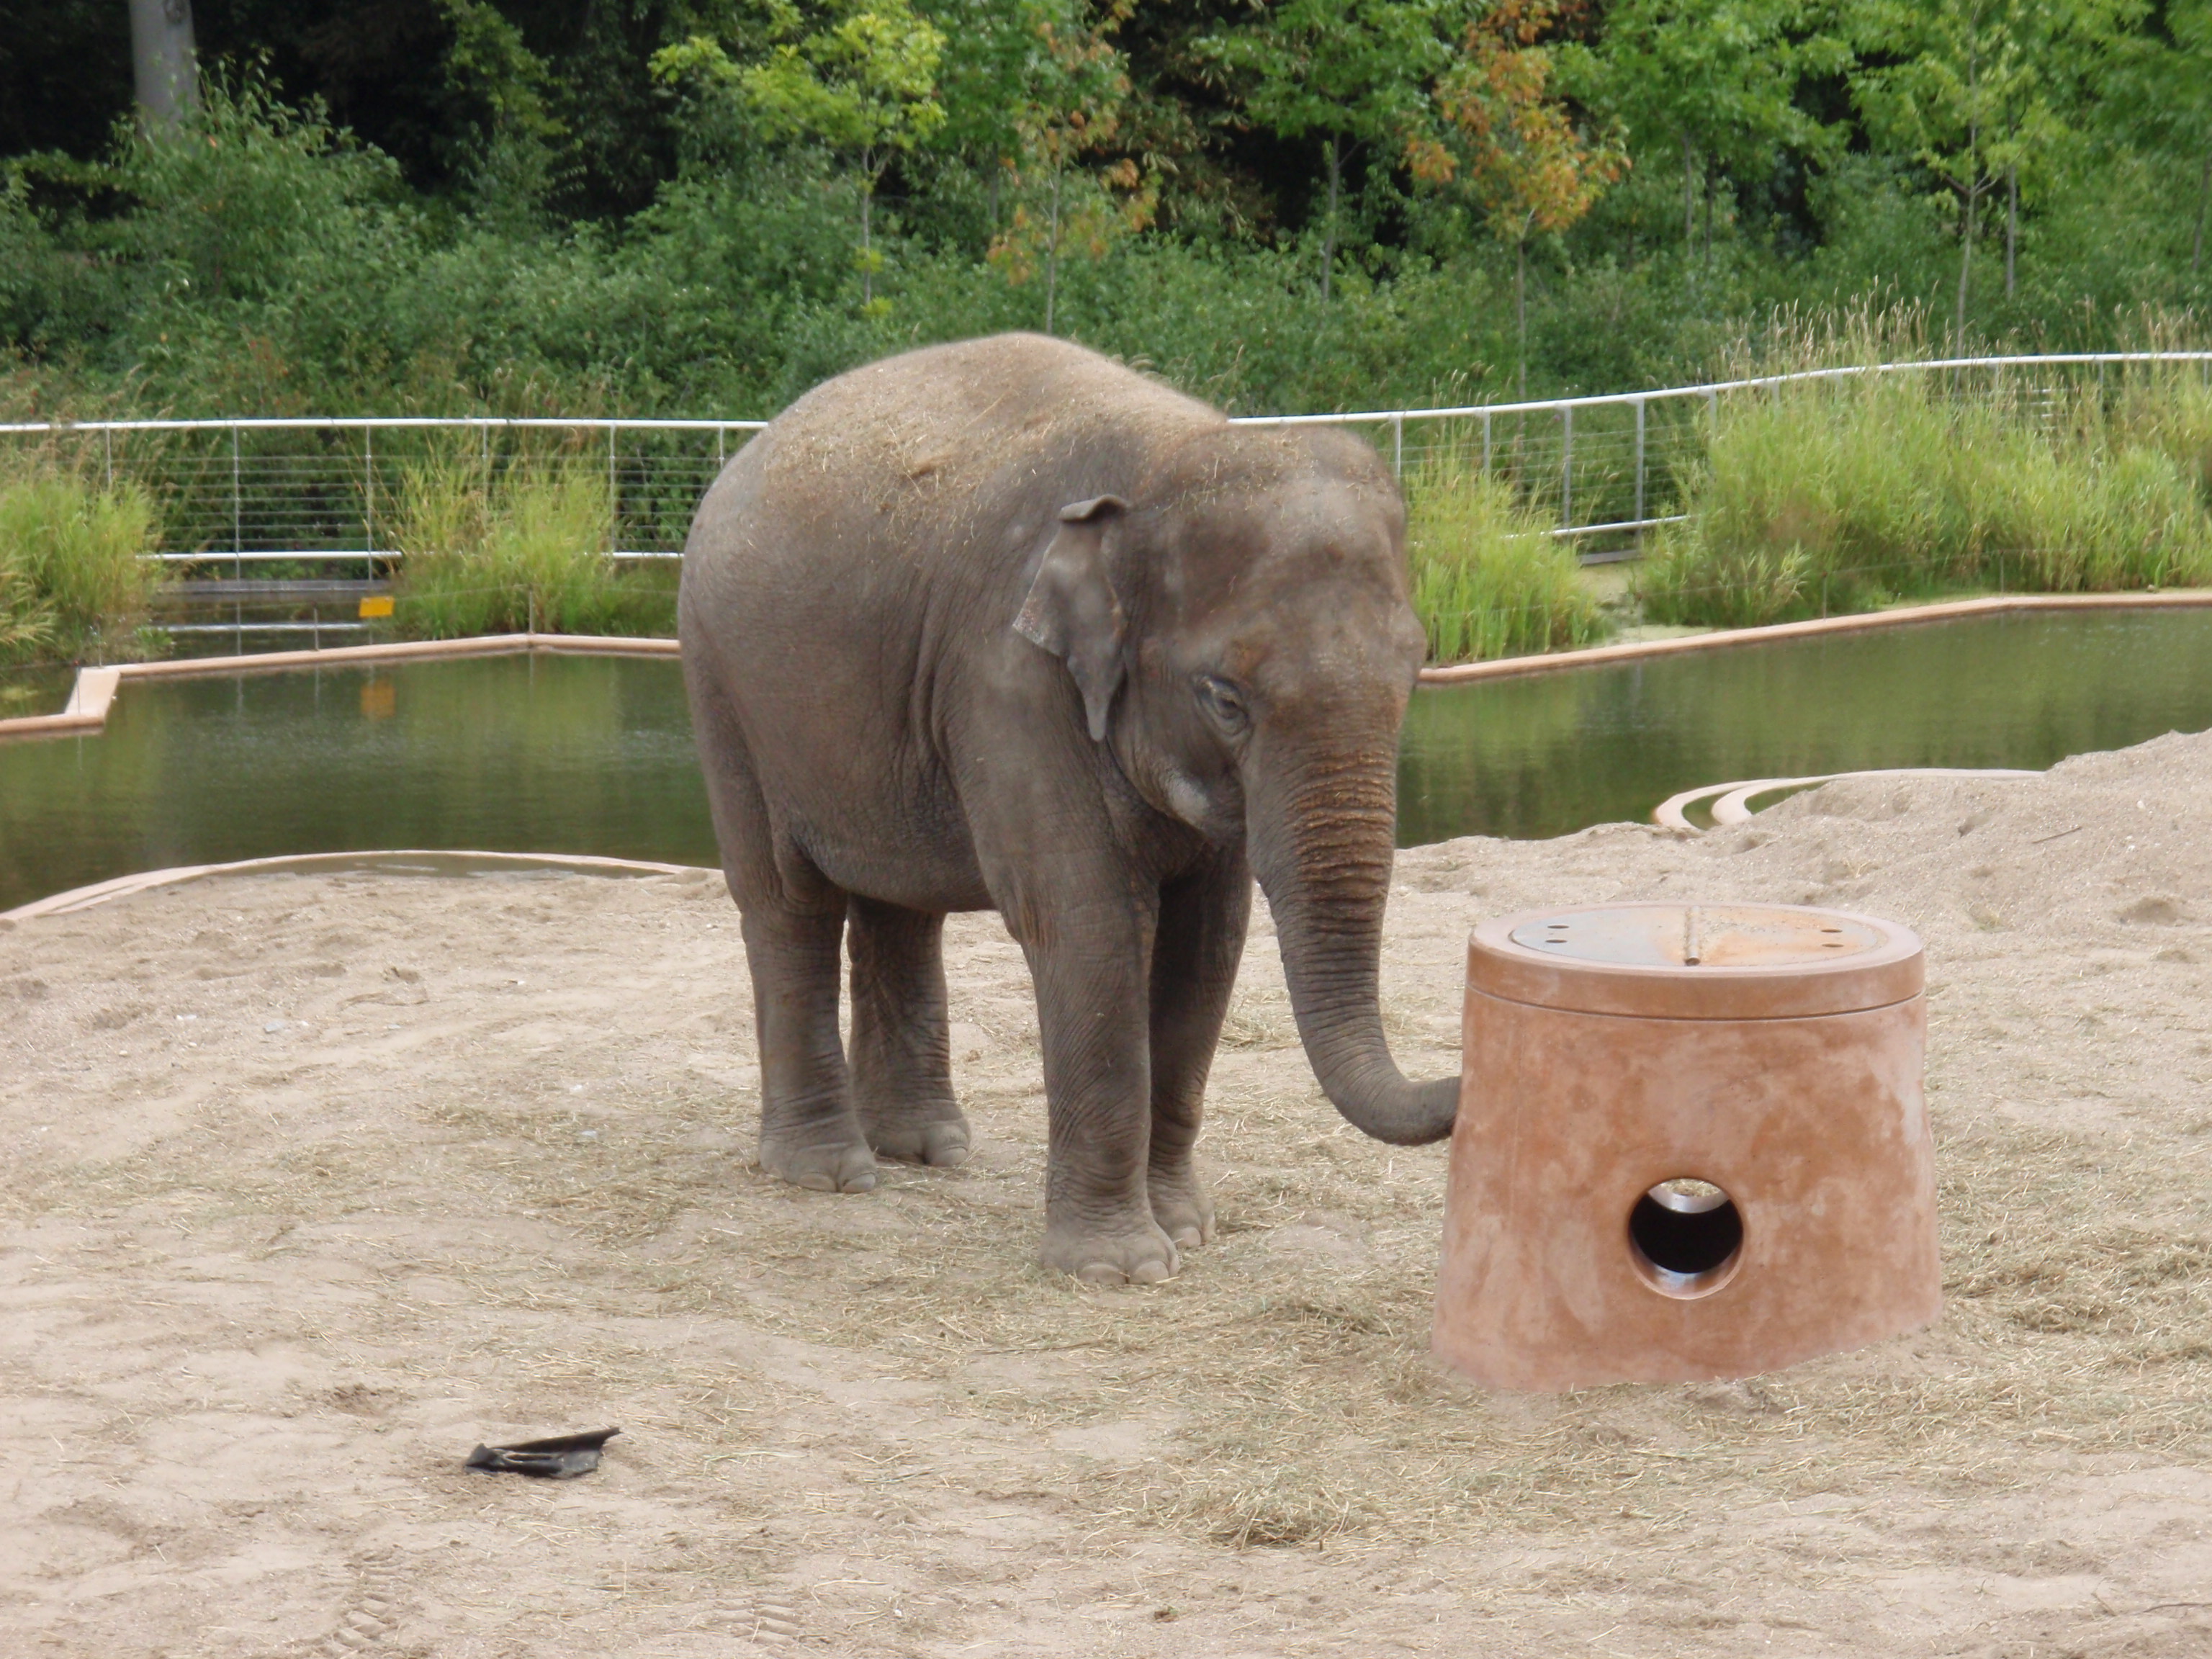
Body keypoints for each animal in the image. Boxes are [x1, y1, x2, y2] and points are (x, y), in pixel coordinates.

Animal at [678, 332, 1456, 1285]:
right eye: (1224, 699)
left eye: (1418, 668)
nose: (1461, 1079)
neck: (1166, 455)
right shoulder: (1008, 679)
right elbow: (1087, 924)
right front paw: (1122, 1270)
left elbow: (1209, 940)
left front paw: (1187, 1229)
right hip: (723, 688)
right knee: (787, 902)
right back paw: (829, 1173)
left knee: (901, 907)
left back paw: (928, 1150)